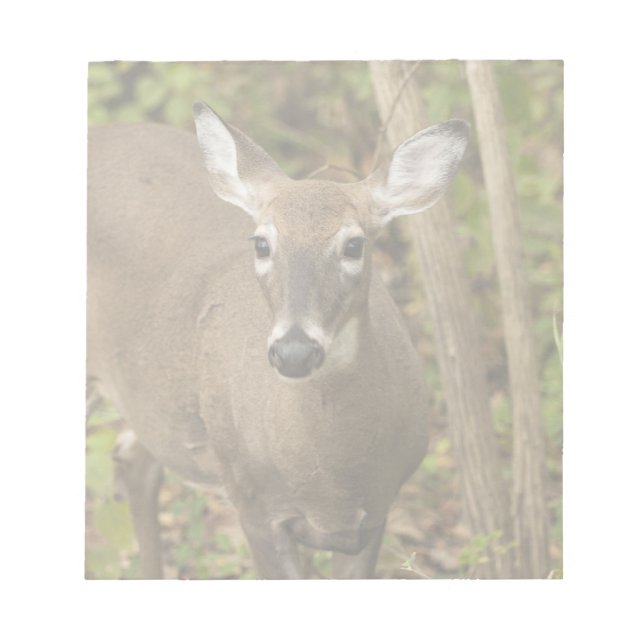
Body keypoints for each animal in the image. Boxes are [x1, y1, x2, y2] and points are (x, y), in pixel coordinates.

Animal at [86, 101, 469, 579]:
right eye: (262, 243)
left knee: (136, 459)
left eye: (355, 245)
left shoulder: (376, 512)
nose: (294, 351)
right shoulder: (253, 501)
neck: (330, 481)